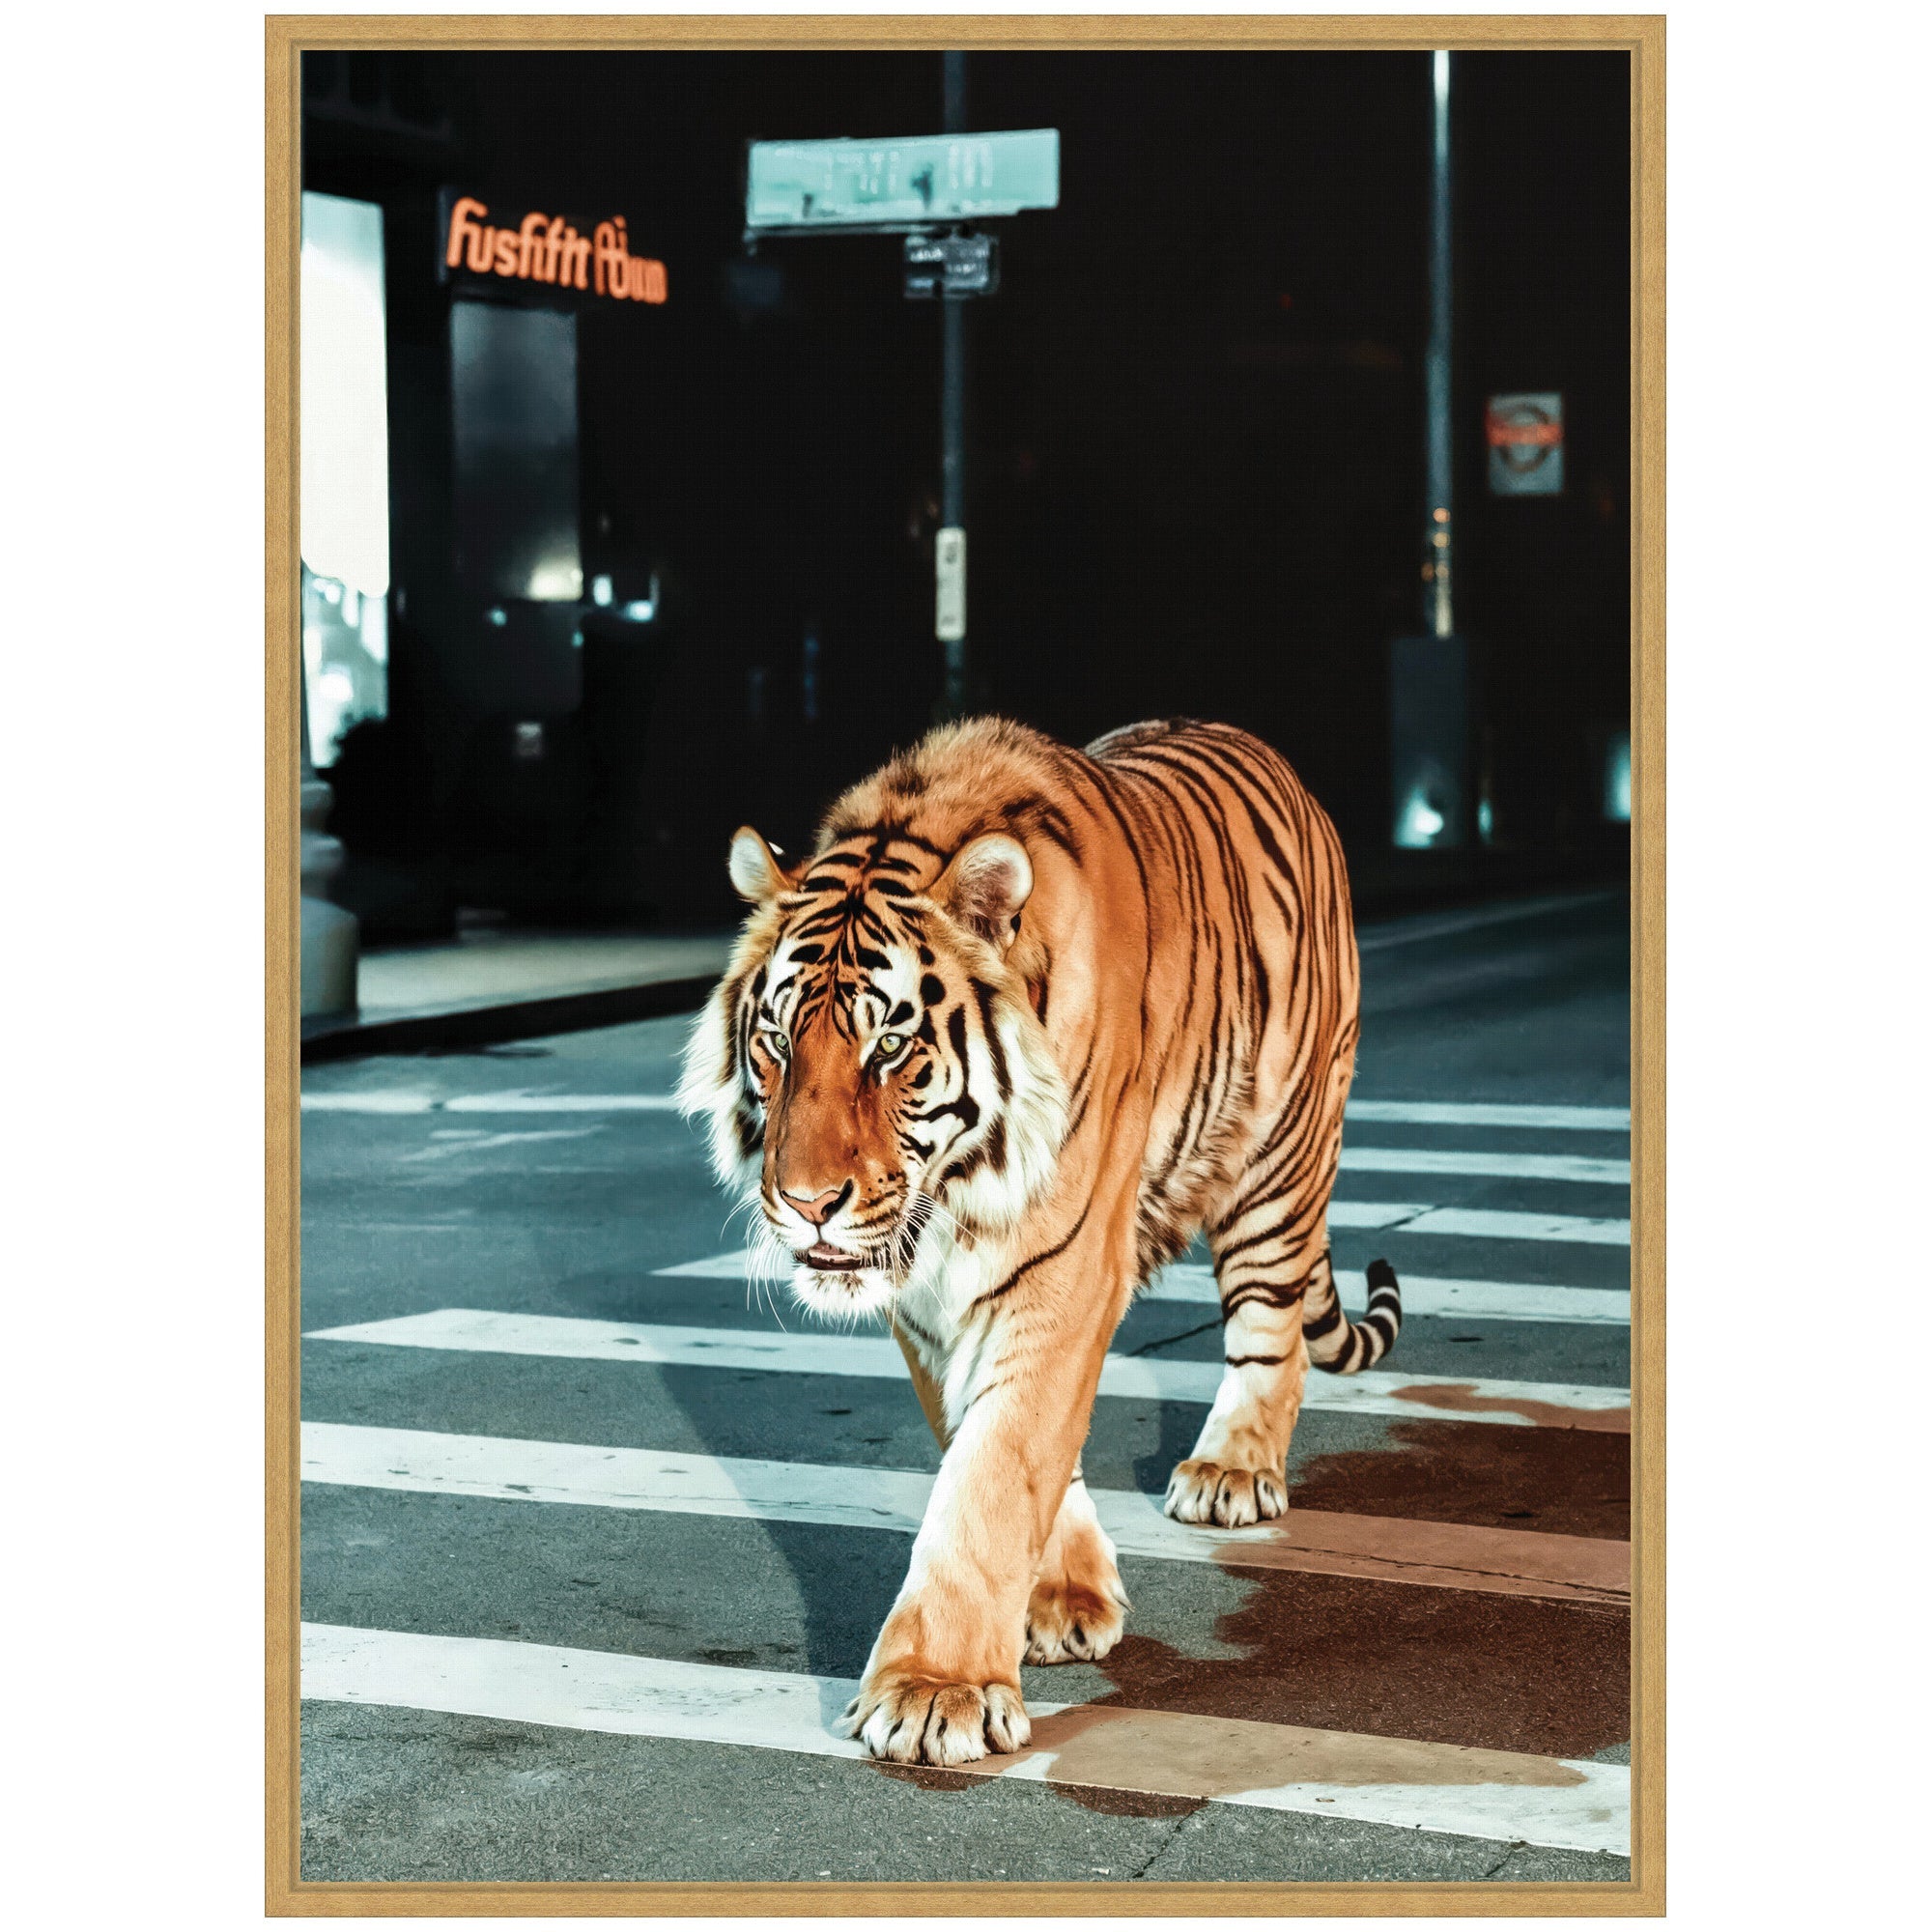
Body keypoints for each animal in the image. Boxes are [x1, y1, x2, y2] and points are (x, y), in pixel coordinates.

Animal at [679, 715, 1401, 1768]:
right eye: (775, 1039)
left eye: (888, 1047)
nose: (807, 1203)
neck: (955, 1190)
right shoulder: (929, 1299)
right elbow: (998, 1442)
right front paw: (1060, 1597)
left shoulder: (1060, 1265)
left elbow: (995, 1467)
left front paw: (931, 1690)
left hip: (1278, 1155)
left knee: (1272, 1331)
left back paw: (1230, 1470)